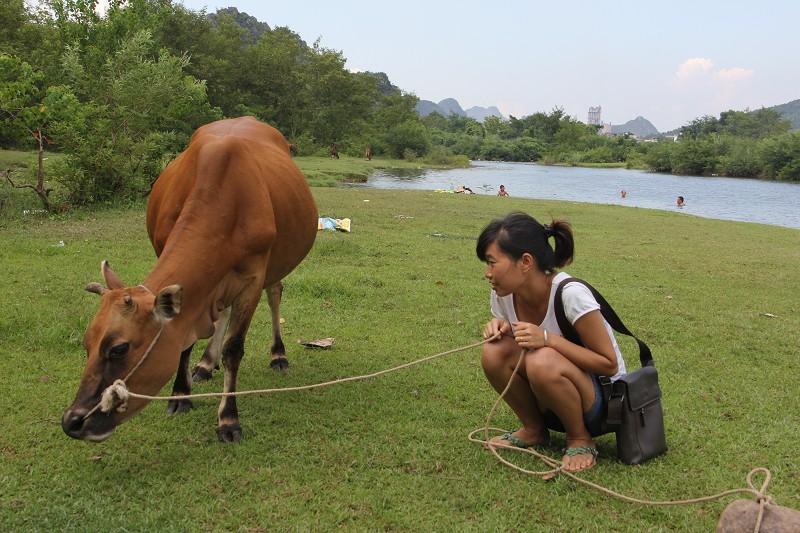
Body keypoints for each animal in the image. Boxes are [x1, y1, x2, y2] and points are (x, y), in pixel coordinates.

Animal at [63, 118, 318, 442]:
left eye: (119, 349)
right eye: (87, 343)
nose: (72, 421)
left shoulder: (253, 278)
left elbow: (234, 349)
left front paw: (228, 419)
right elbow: (186, 340)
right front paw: (180, 395)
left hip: (279, 259)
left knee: (275, 293)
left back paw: (278, 355)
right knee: (223, 312)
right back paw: (206, 363)